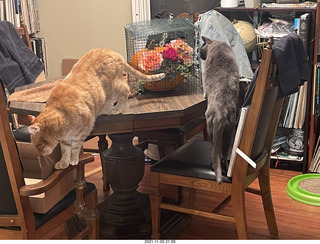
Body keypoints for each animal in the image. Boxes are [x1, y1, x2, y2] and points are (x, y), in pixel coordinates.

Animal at [27, 48, 165, 170]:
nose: (40, 154)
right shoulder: (65, 140)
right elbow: (65, 151)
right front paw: (64, 163)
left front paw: (74, 159)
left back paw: (117, 108)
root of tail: (114, 53)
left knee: (125, 90)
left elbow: (75, 148)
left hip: (114, 87)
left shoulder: (82, 131)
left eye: (38, 145)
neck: (60, 111)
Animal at [200, 35, 240, 182]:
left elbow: (204, 90)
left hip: (211, 128)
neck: (217, 44)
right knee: (222, 155)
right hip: (229, 132)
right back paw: (224, 169)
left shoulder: (204, 75)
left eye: (201, 46)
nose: (199, 53)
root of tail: (220, 114)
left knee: (215, 151)